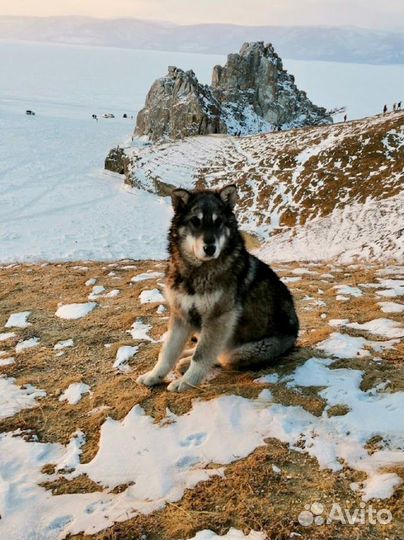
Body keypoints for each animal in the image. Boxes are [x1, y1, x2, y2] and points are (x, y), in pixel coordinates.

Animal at [137, 186, 298, 392]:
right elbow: (167, 353)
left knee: (220, 355)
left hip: (244, 350)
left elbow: (202, 356)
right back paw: (184, 356)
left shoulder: (218, 318)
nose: (210, 248)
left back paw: (186, 363)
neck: (197, 272)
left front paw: (185, 382)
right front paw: (153, 376)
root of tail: (295, 336)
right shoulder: (181, 315)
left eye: (218, 222)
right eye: (195, 221)